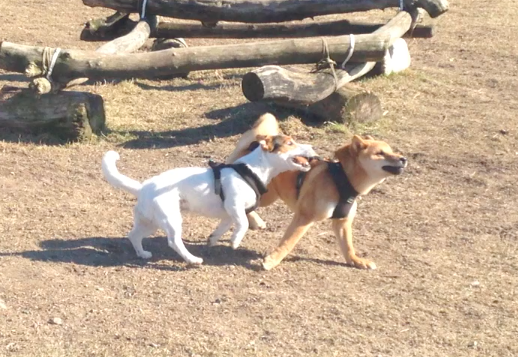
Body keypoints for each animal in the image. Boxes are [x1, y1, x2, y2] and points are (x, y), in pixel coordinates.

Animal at [99, 135, 314, 262]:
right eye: (290, 143)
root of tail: (143, 187)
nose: (312, 147)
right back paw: (192, 259)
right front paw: (235, 241)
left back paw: (142, 253)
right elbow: (243, 224)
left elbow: (225, 227)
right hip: (171, 219)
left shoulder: (229, 214)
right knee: (174, 242)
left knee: (133, 236)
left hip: (150, 222)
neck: (251, 170)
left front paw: (214, 239)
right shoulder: (235, 205)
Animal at [229, 112, 410, 268]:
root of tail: (253, 146)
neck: (343, 179)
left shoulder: (342, 222)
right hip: (265, 195)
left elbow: (348, 246)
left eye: (392, 151)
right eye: (380, 153)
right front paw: (272, 261)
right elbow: (289, 242)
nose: (403, 159)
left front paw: (357, 261)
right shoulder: (304, 217)